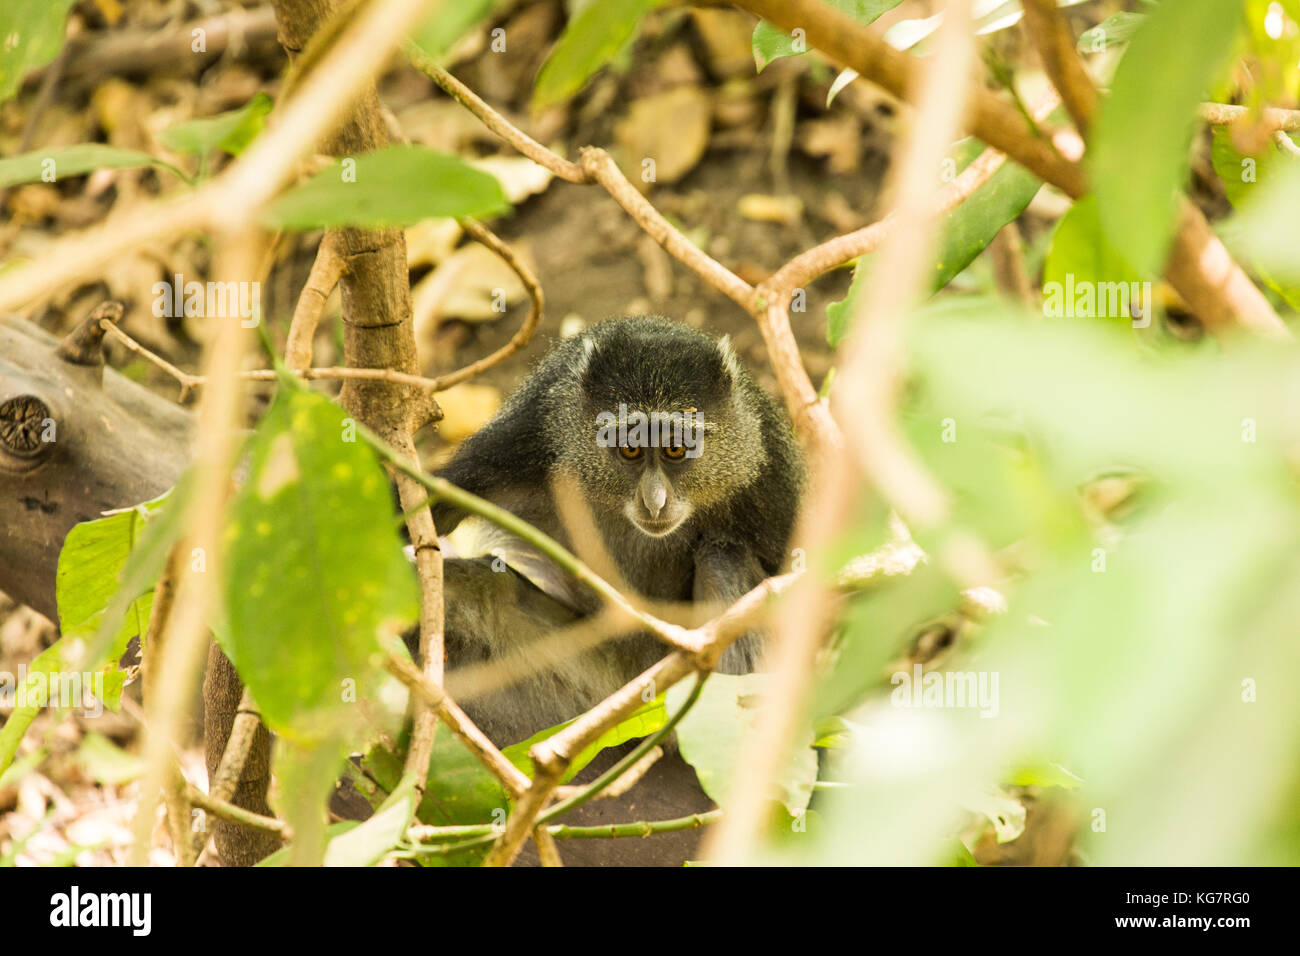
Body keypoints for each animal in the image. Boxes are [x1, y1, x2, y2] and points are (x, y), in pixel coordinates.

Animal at [425, 316, 804, 745]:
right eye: (631, 449)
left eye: (676, 449)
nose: (655, 501)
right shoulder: (525, 433)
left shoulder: (769, 464)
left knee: (723, 555)